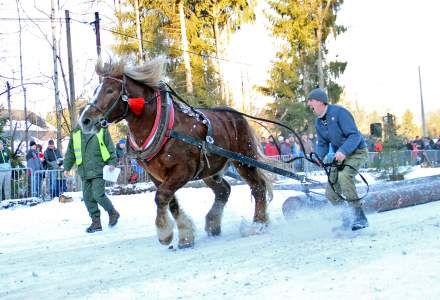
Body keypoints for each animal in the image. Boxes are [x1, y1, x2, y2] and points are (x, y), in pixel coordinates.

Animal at [79, 56, 272, 248]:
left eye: (110, 90)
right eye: (96, 90)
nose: (85, 120)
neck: (163, 127)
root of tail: (236, 114)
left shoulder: (183, 170)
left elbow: (161, 196)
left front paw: (165, 233)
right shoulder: (156, 176)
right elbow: (170, 201)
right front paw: (186, 235)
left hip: (243, 161)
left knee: (258, 187)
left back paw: (258, 224)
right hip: (210, 169)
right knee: (223, 190)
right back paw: (213, 223)